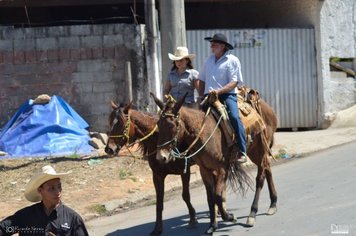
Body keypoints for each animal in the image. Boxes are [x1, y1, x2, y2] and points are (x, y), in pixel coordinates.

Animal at [104, 102, 199, 236]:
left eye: (122, 124)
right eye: (110, 122)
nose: (109, 149)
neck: (158, 140)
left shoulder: (184, 172)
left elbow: (185, 195)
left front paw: (192, 219)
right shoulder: (157, 176)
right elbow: (159, 203)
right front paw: (157, 229)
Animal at [152, 93, 252, 235]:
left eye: (172, 125)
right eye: (158, 125)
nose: (161, 157)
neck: (204, 134)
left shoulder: (220, 168)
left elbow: (217, 195)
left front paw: (229, 217)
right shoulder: (205, 170)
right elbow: (211, 197)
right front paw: (212, 225)